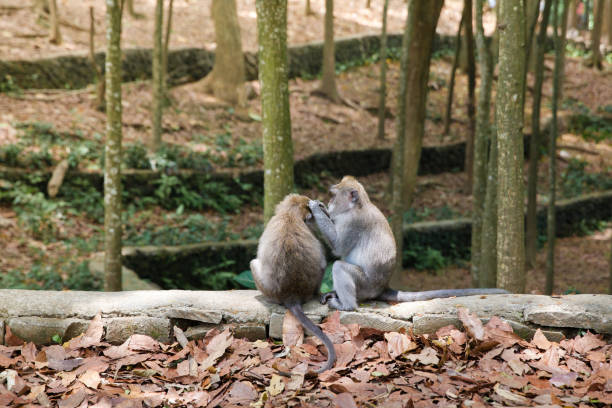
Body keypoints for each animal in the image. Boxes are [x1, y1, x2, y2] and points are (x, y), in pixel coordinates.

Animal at [308, 174, 510, 310]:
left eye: (334, 196)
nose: (329, 203)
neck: (357, 206)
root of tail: (382, 288)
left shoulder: (353, 222)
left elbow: (338, 247)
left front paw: (316, 208)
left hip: (365, 286)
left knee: (339, 267)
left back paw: (346, 305)